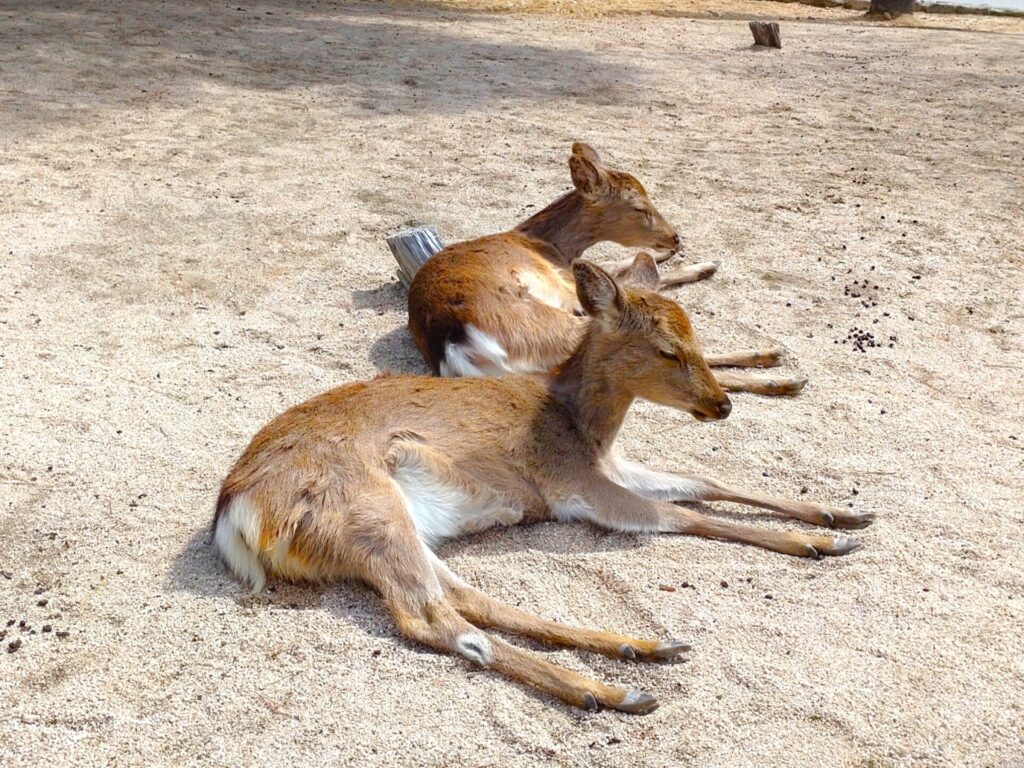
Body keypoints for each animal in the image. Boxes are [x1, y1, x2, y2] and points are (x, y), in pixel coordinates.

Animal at [216, 260, 872, 716]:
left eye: (699, 338)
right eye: (666, 349)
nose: (722, 404)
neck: (582, 428)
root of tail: (237, 516)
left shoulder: (613, 465)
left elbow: (705, 480)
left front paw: (842, 515)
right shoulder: (575, 485)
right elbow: (683, 516)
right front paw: (821, 543)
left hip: (389, 531)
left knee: (466, 597)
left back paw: (643, 648)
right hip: (368, 513)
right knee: (433, 617)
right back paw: (611, 692)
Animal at [403, 142, 802, 399]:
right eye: (639, 207)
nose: (675, 236)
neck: (548, 244)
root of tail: (454, 345)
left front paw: (704, 264)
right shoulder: (568, 286)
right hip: (558, 322)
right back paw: (779, 371)